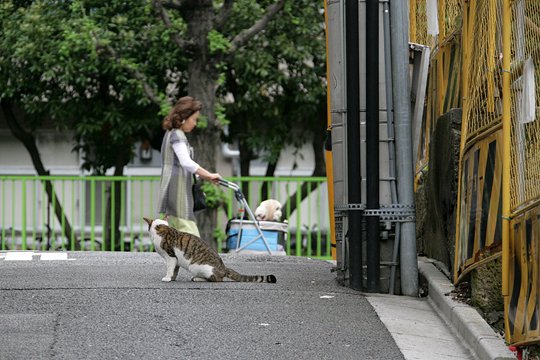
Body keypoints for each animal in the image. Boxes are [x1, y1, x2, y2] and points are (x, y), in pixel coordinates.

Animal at [143, 218, 278, 282]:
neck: (162, 228)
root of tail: (223, 267)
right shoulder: (176, 259)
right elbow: (175, 270)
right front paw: (173, 278)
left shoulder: (170, 256)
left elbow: (170, 269)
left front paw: (167, 278)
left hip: (195, 266)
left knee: (217, 279)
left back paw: (197, 278)